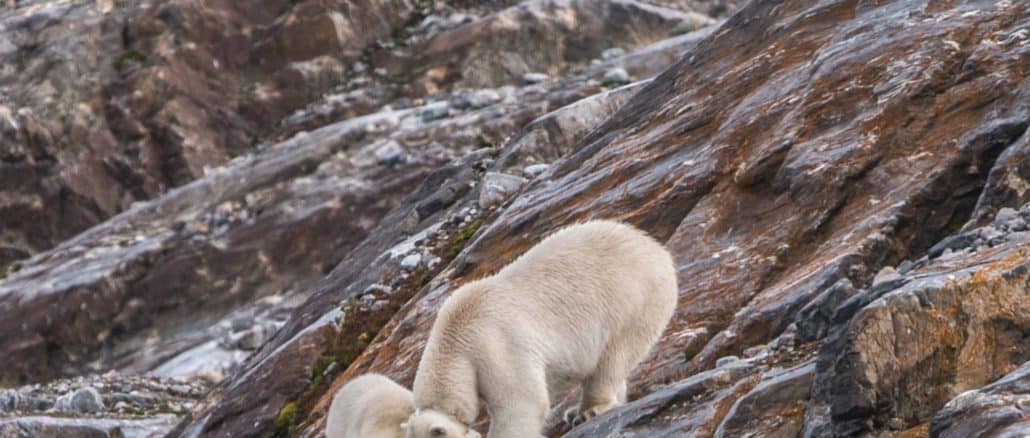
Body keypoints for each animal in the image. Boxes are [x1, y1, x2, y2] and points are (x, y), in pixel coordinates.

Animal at [405, 220, 679, 436]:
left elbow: (522, 403)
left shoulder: (494, 345)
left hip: (634, 301)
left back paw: (589, 410)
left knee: (612, 358)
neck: (453, 337)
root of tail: (655, 247)